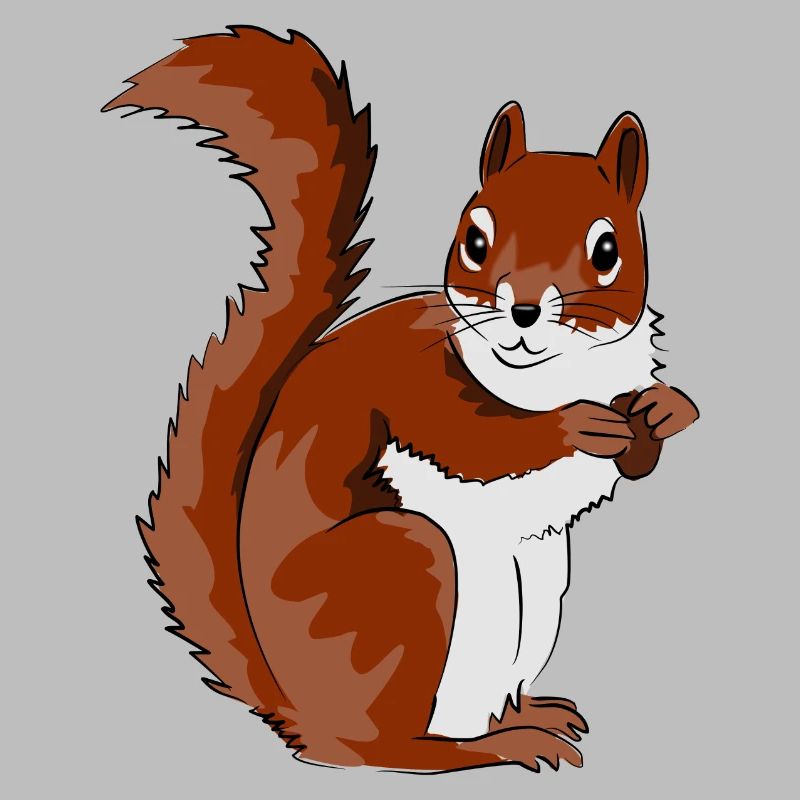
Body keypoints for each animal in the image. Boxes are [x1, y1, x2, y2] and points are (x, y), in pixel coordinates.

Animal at [104, 25, 699, 773]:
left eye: (608, 249)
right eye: (475, 239)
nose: (524, 311)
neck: (550, 375)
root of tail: (297, 713)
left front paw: (665, 411)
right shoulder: (415, 385)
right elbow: (479, 443)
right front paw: (574, 428)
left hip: (536, 590)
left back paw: (526, 716)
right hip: (407, 571)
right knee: (386, 747)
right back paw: (487, 747)